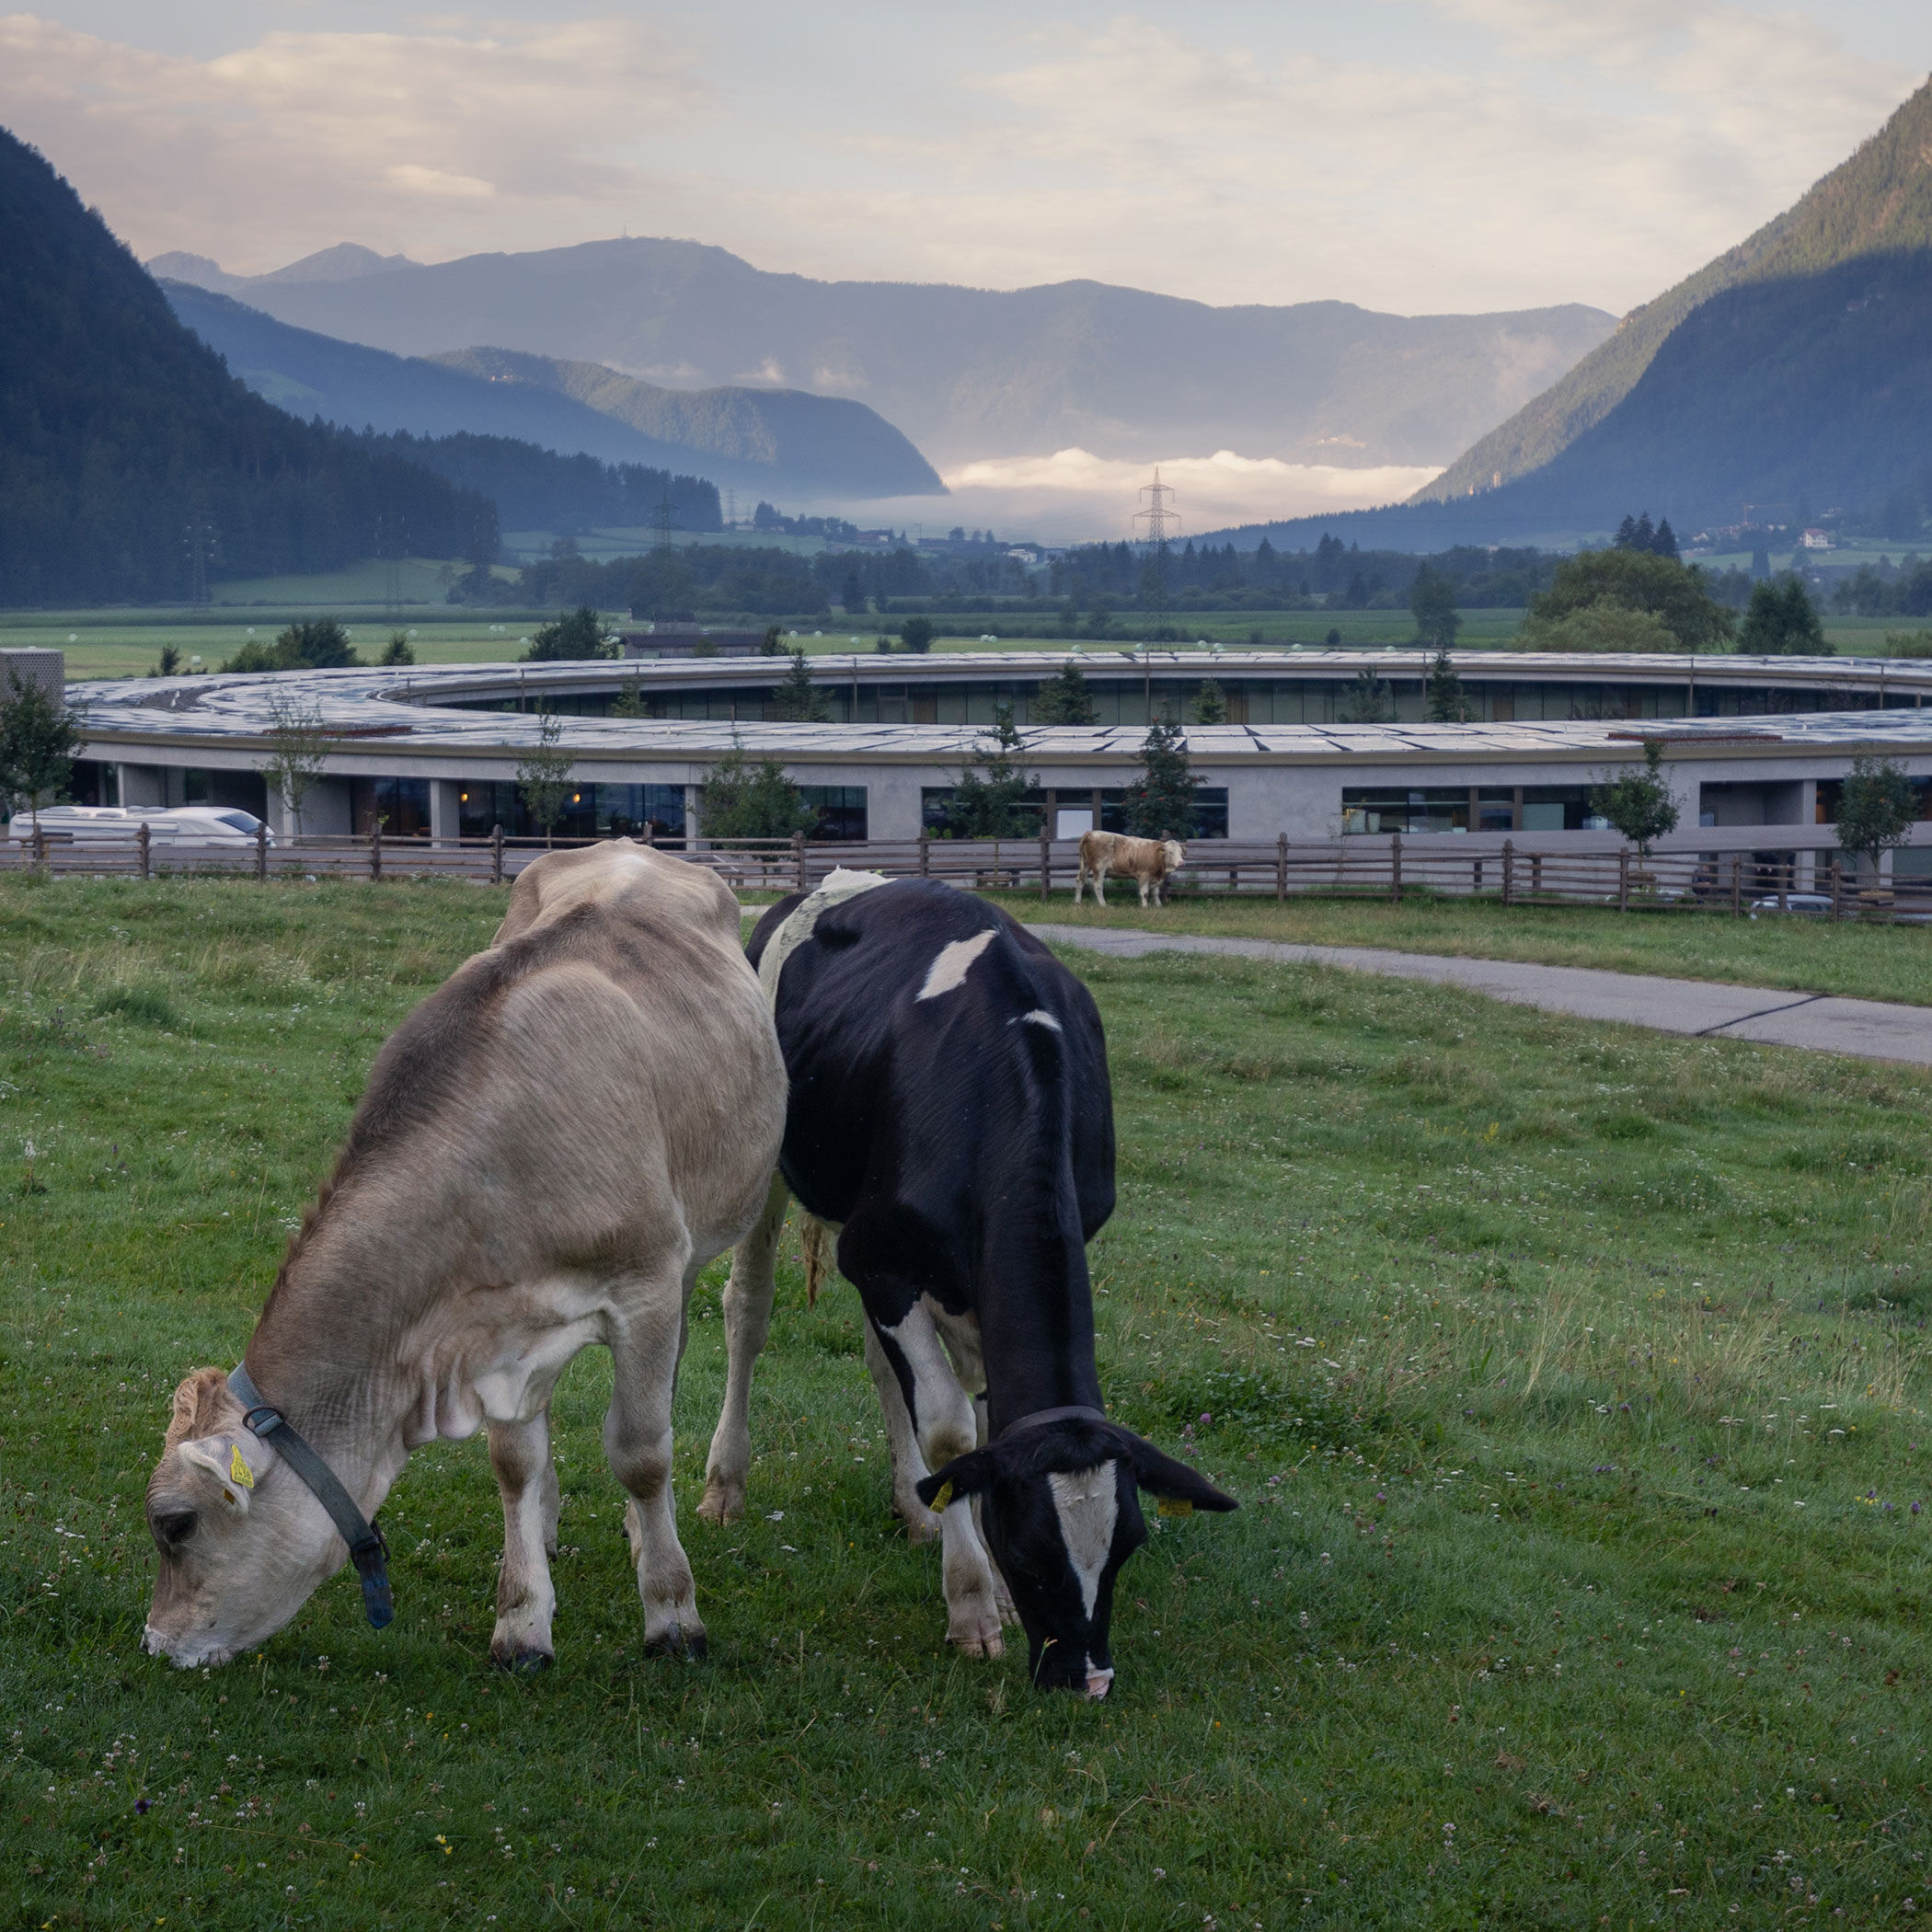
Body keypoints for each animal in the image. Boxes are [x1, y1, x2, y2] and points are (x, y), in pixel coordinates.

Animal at [141, 843, 786, 1671]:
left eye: (176, 1524)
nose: (158, 1642)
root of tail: (629, 846)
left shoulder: (646, 1283)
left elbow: (642, 1451)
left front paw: (673, 1614)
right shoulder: (498, 1330)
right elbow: (513, 1462)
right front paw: (522, 1618)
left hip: (697, 1249)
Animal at [699, 872, 1233, 1696]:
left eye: (1127, 1546)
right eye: (1029, 1549)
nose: (1087, 1679)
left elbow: (974, 1415)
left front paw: (973, 1560)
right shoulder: (879, 1258)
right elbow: (951, 1426)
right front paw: (976, 1606)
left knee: (882, 1364)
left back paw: (912, 1507)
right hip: (768, 1171)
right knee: (748, 1314)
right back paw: (726, 1486)